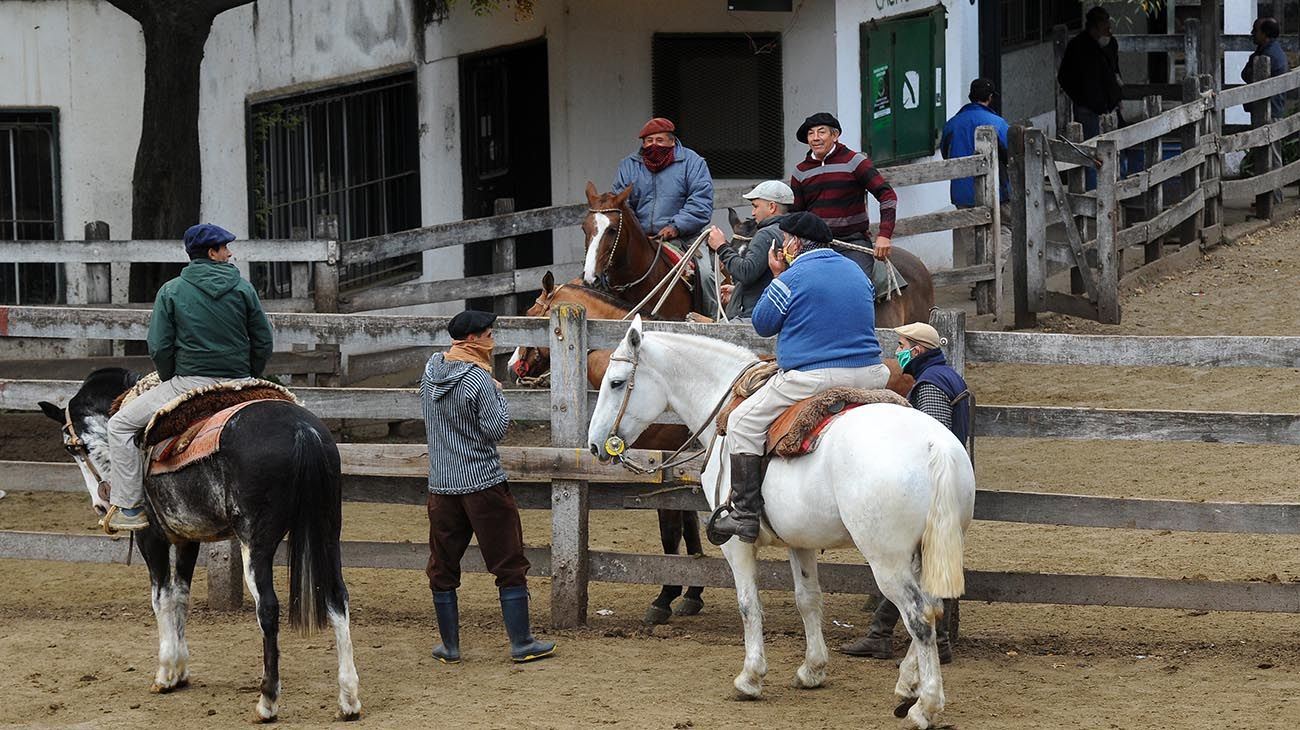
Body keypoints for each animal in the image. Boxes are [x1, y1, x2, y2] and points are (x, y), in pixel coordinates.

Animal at [39, 366, 361, 717]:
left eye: (72, 448)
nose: (101, 504)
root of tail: (304, 430)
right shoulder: (187, 538)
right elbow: (181, 595)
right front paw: (180, 672)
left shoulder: (151, 538)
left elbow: (162, 598)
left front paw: (165, 673)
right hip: (328, 531)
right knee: (337, 598)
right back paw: (349, 699)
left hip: (256, 542)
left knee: (268, 607)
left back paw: (267, 701)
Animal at [590, 318, 977, 727]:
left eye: (616, 382)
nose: (596, 445)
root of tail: (934, 444)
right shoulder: (800, 541)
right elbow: (808, 600)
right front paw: (812, 670)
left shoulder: (736, 545)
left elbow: (748, 603)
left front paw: (750, 677)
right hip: (927, 550)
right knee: (933, 607)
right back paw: (906, 687)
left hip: (888, 560)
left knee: (919, 615)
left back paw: (924, 706)